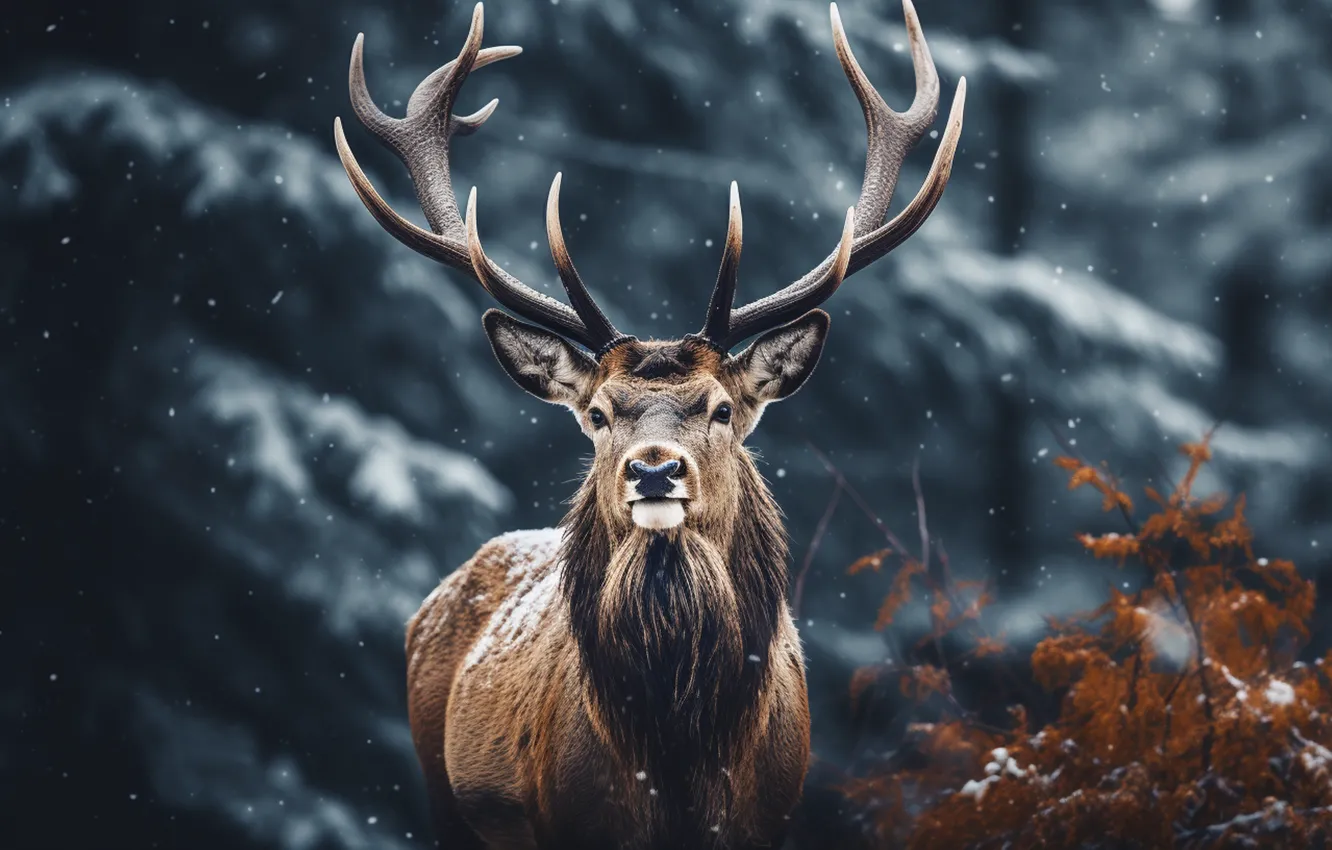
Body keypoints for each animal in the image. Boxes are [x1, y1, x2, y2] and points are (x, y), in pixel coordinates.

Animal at [332, 2, 963, 847]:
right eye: (598, 413)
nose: (655, 469)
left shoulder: (775, 816)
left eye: (723, 408)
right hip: (443, 802)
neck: (679, 760)